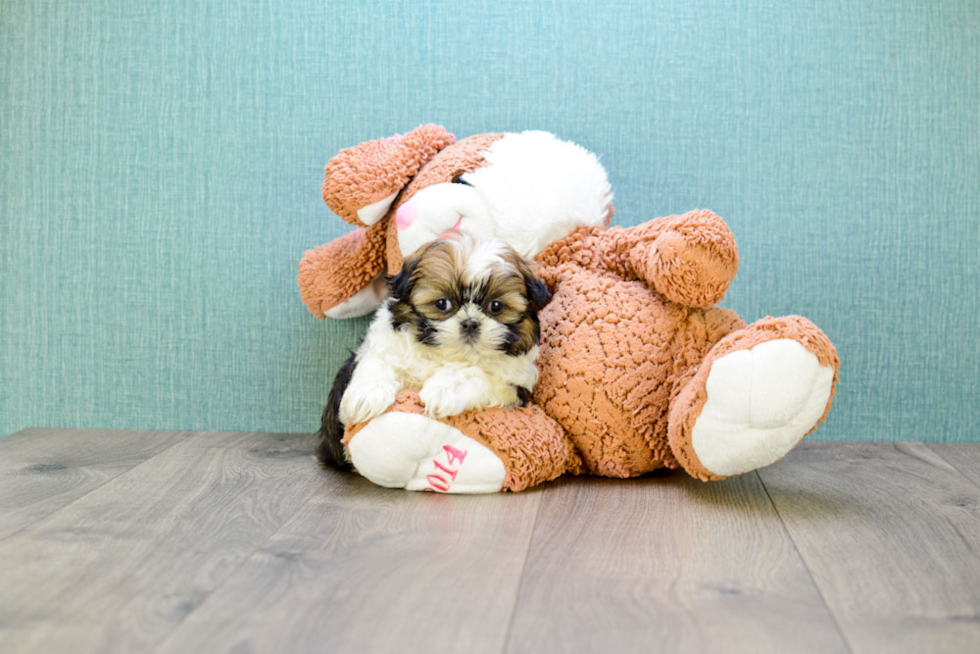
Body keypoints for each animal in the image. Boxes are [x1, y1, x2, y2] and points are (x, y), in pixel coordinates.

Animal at [316, 236, 552, 472]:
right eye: (442, 303)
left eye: (496, 306)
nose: (470, 323)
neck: (445, 354)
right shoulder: (384, 346)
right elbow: (377, 362)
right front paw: (366, 396)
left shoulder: (513, 385)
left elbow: (475, 372)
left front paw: (444, 390)